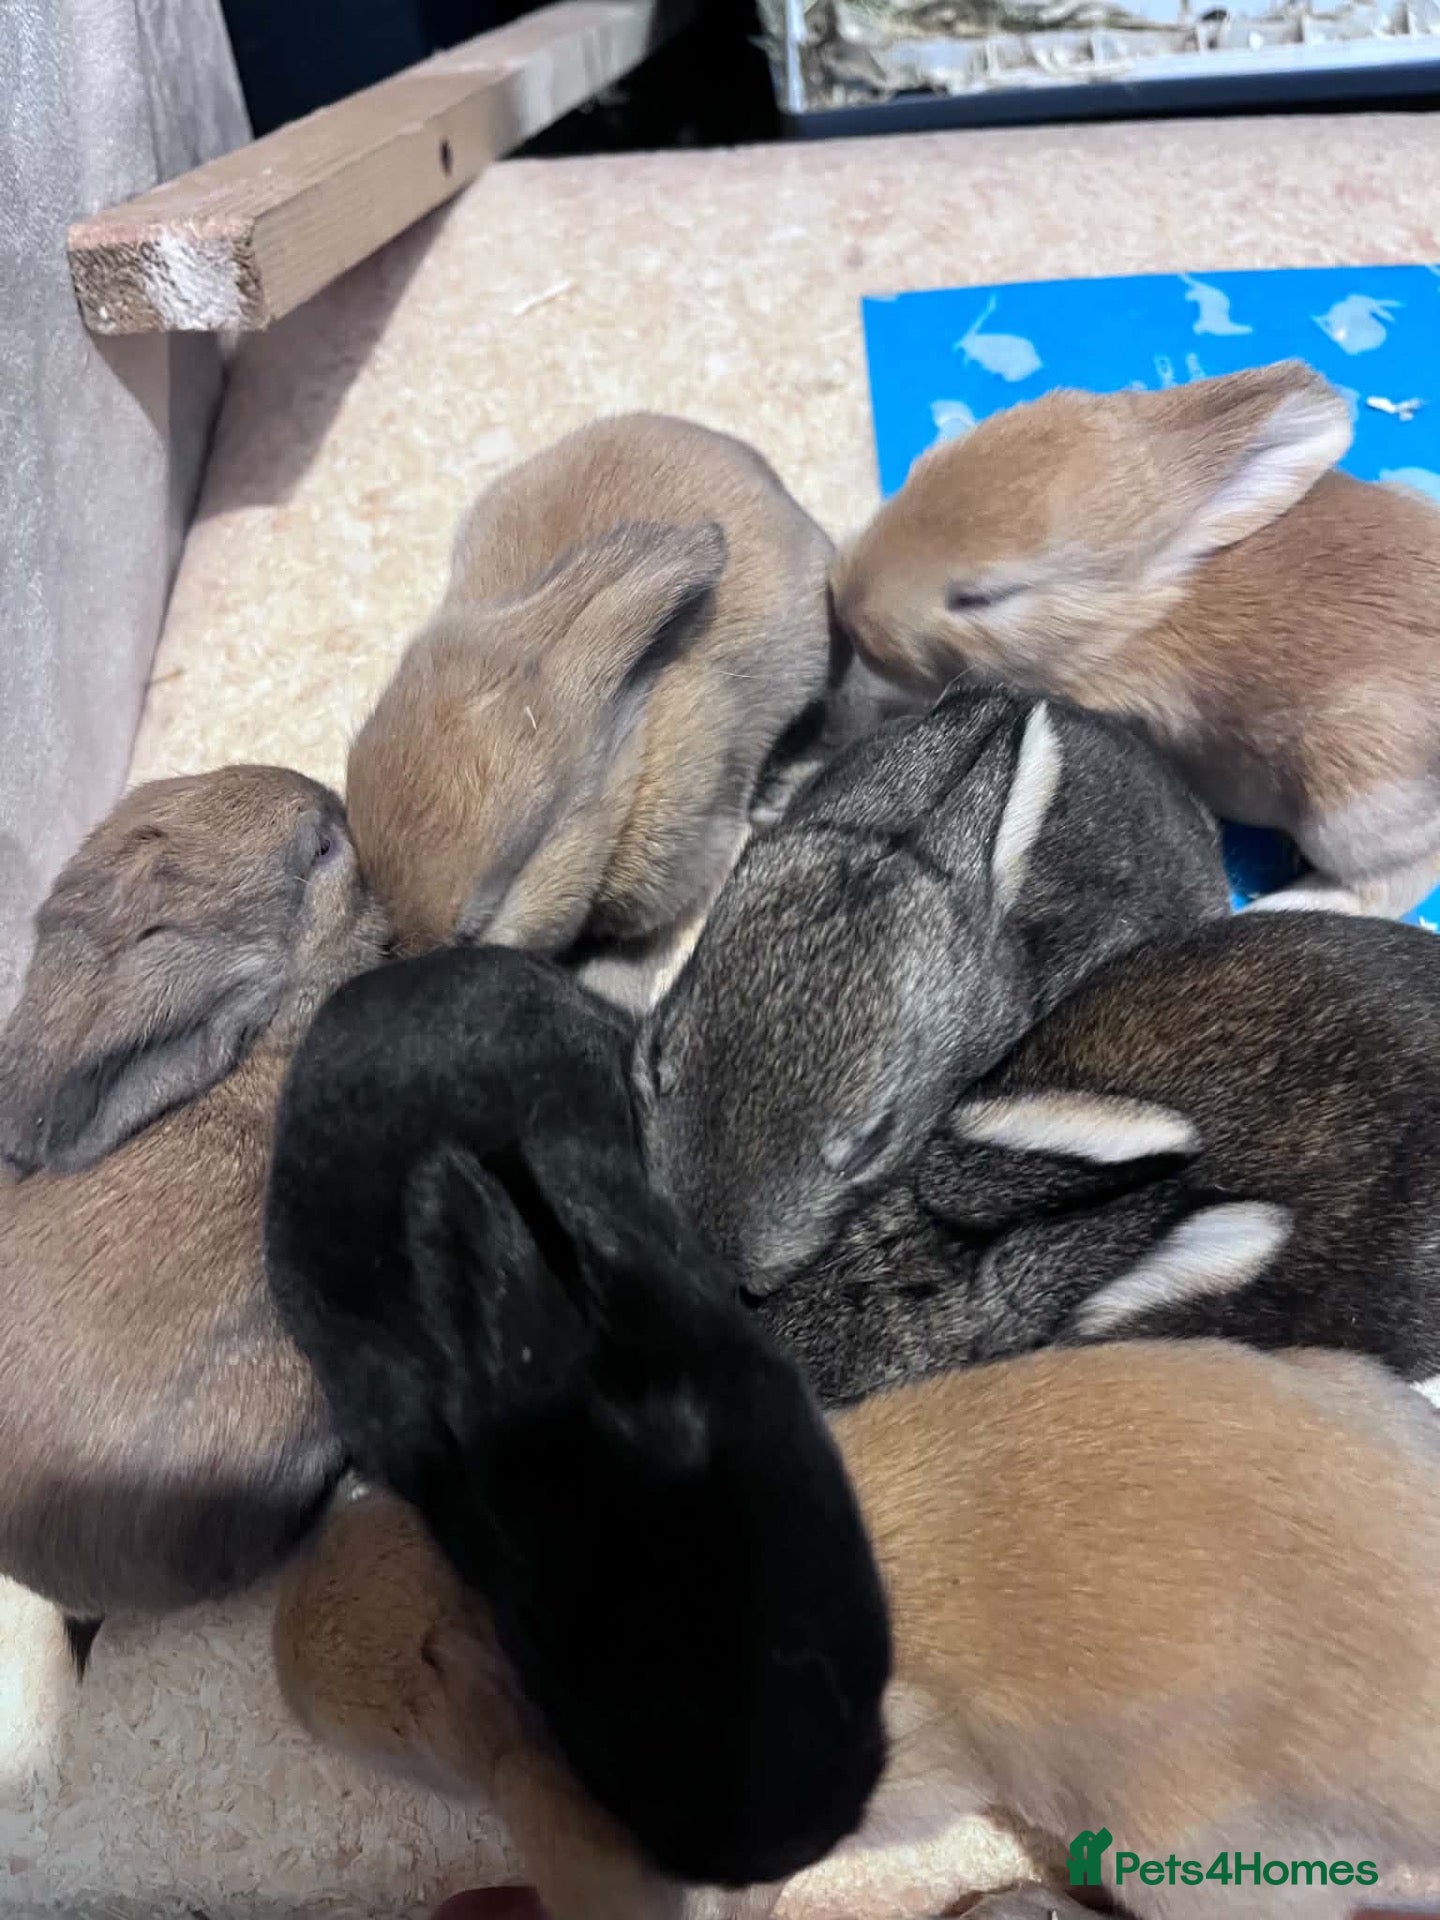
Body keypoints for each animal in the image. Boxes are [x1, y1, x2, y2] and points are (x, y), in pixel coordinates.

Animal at [832, 359, 1440, 919]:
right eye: (922, 467)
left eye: (981, 597)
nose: (851, 614)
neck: (1133, 616)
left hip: (1353, 810)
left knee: (1395, 881)